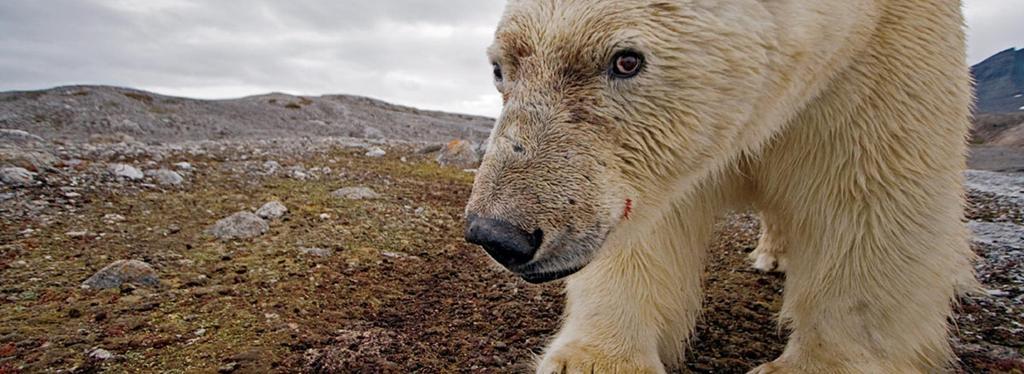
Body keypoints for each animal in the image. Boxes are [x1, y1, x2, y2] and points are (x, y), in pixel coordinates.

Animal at [464, 0, 974, 370]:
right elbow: (652, 224)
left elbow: (870, 200)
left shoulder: (880, 58)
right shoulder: (658, 164)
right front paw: (599, 360)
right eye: (499, 68)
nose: (498, 234)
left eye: (626, 60)